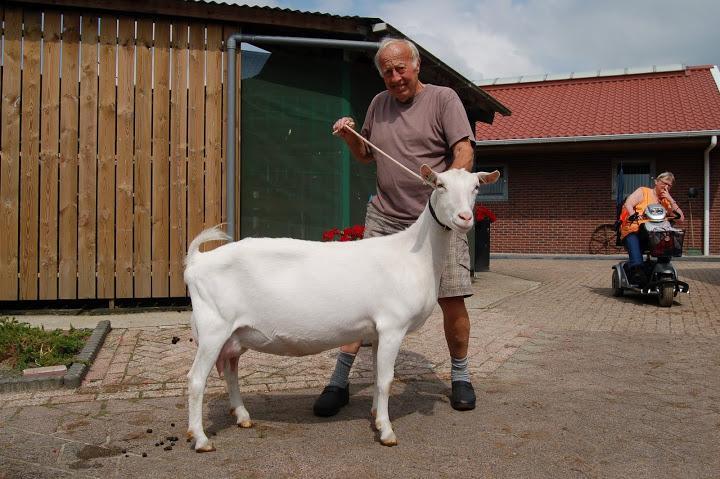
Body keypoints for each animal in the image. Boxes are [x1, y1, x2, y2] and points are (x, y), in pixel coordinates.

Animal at [186, 164, 500, 450]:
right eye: (440, 185)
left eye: (476, 187)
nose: (465, 218)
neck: (413, 254)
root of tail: (197, 262)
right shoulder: (392, 326)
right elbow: (386, 379)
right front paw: (387, 431)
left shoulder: (377, 331)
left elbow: (377, 375)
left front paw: (376, 416)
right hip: (214, 327)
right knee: (196, 379)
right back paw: (200, 439)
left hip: (235, 333)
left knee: (230, 370)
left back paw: (242, 416)